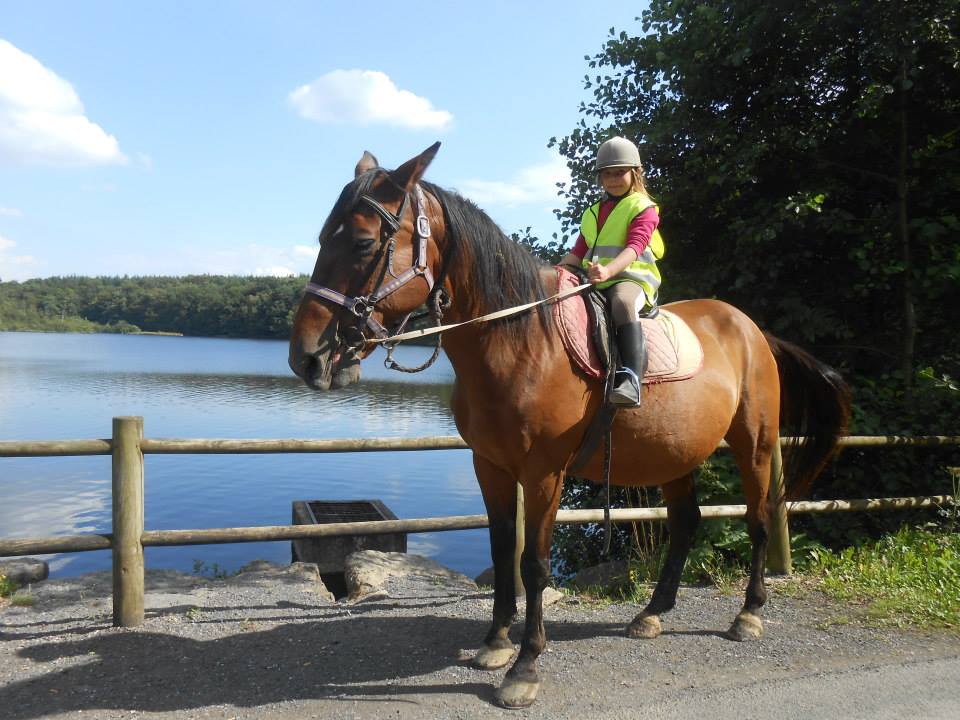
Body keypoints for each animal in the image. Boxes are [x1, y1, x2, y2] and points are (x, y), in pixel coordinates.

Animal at [288, 143, 852, 704]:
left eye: (363, 242)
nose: (306, 357)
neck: (518, 339)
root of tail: (752, 329)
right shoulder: (489, 466)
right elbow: (503, 549)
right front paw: (495, 642)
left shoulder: (543, 474)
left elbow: (534, 564)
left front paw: (524, 666)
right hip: (675, 455)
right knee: (686, 523)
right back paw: (651, 614)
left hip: (754, 445)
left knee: (759, 521)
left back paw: (749, 614)